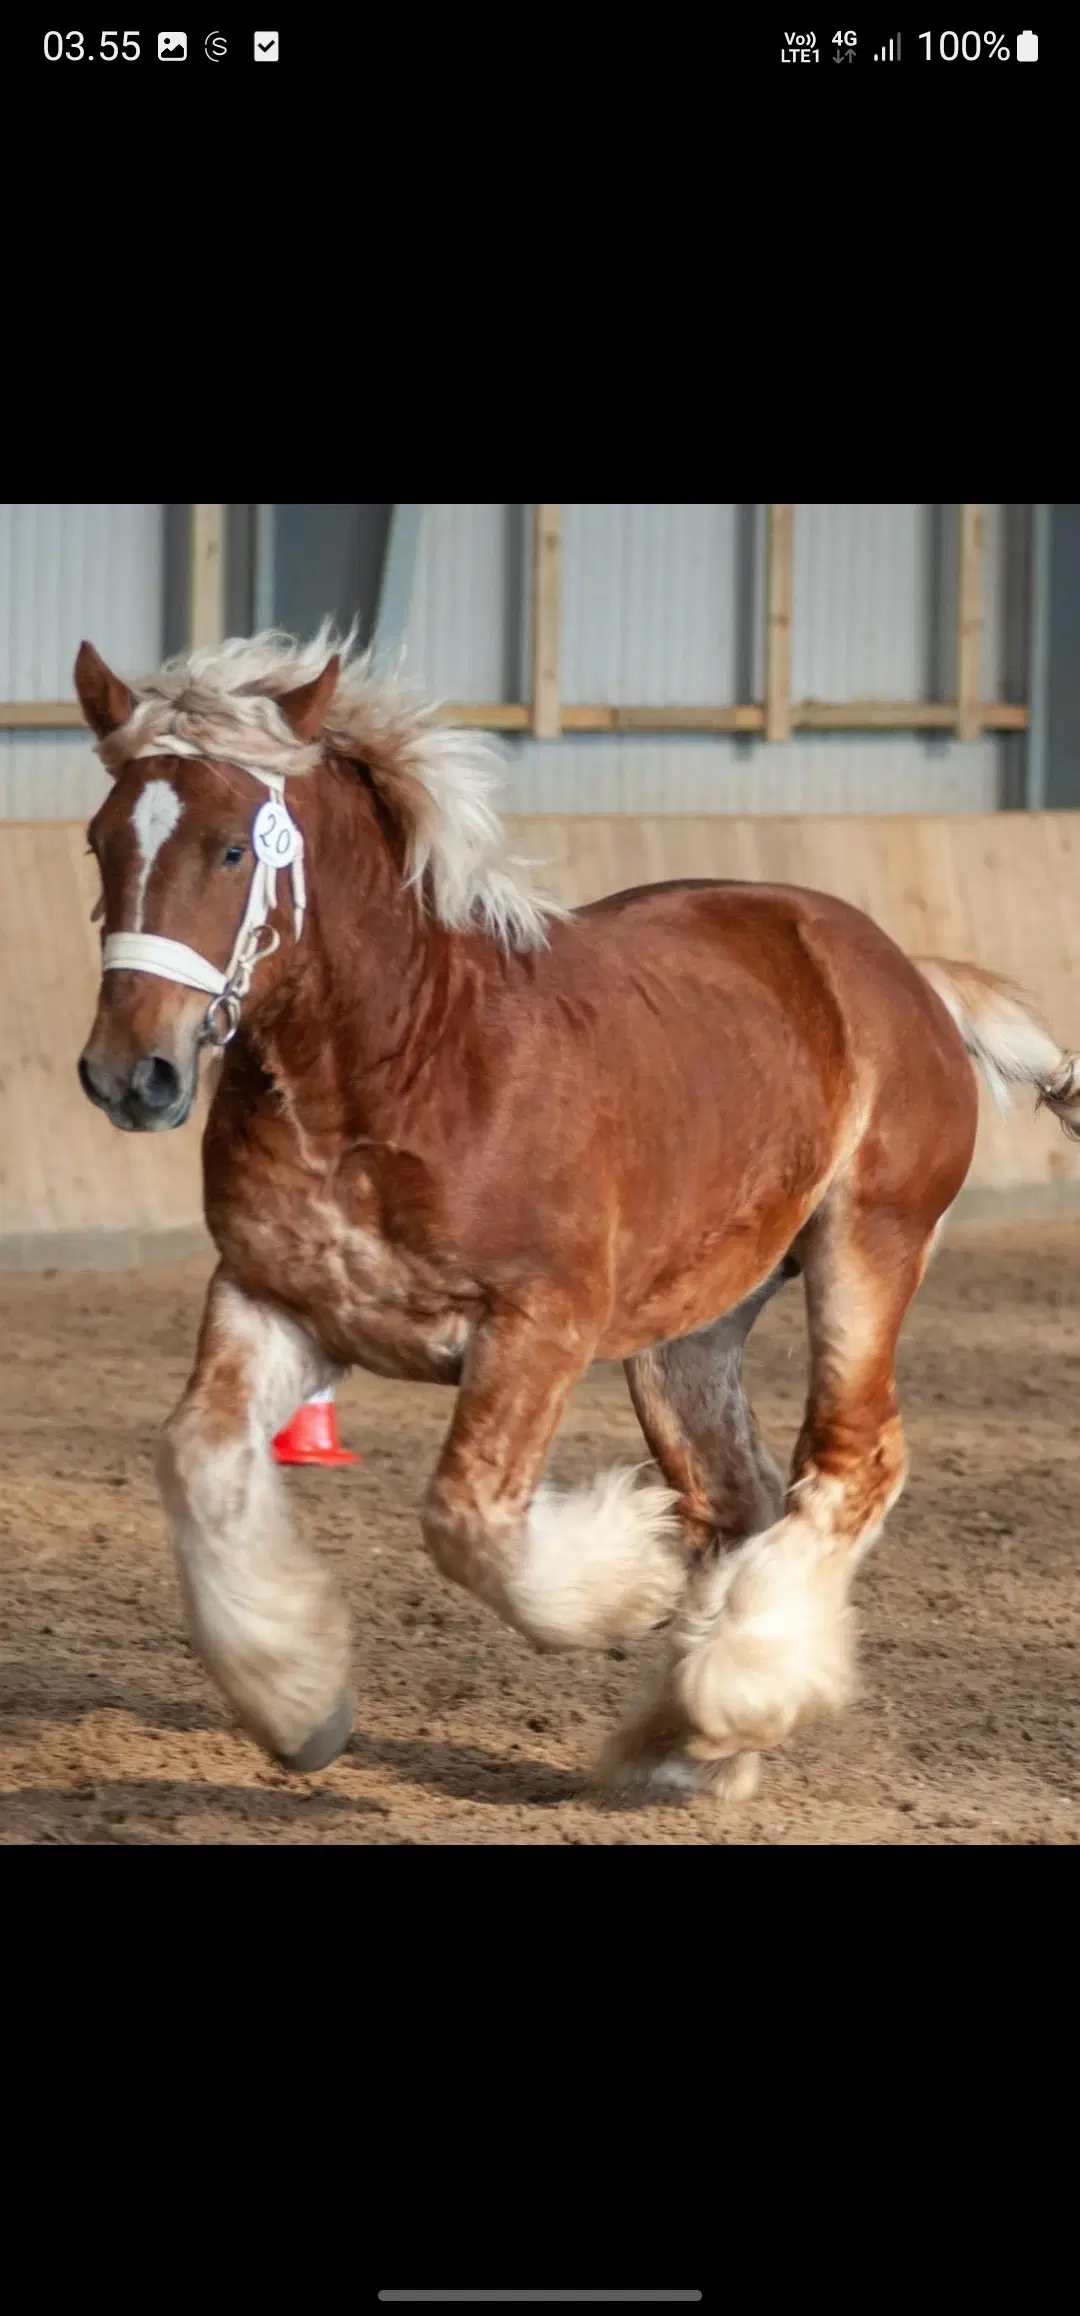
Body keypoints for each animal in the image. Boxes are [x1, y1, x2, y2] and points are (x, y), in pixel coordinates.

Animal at [71, 634, 1080, 1806]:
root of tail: (906, 974)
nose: (129, 1075)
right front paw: (299, 1706)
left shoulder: (536, 1324)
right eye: (101, 841)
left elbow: (469, 1518)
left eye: (234, 849)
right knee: (738, 1494)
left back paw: (729, 1695)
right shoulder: (275, 1301)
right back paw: (692, 1744)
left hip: (868, 1247)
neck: (402, 1065)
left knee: (852, 1459)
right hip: (690, 1331)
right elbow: (197, 1459)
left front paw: (627, 1580)